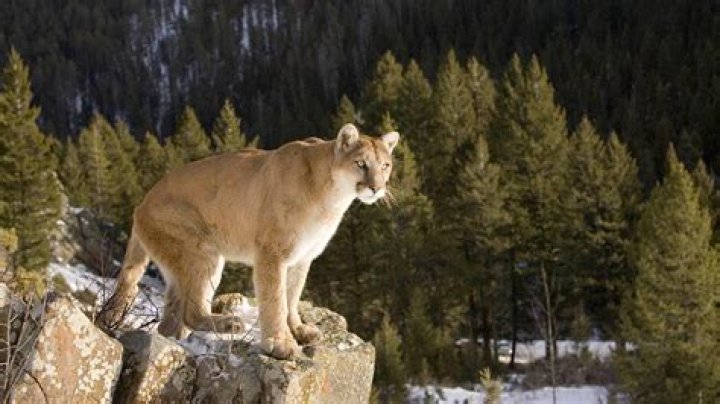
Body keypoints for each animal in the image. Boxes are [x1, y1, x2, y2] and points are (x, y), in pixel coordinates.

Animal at [101, 123, 399, 359]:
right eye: (361, 163)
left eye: (385, 165)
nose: (377, 188)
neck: (332, 196)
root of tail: (141, 203)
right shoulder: (272, 253)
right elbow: (275, 298)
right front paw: (279, 344)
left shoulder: (302, 257)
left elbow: (292, 295)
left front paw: (298, 330)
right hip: (202, 250)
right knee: (191, 311)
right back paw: (228, 323)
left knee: (171, 318)